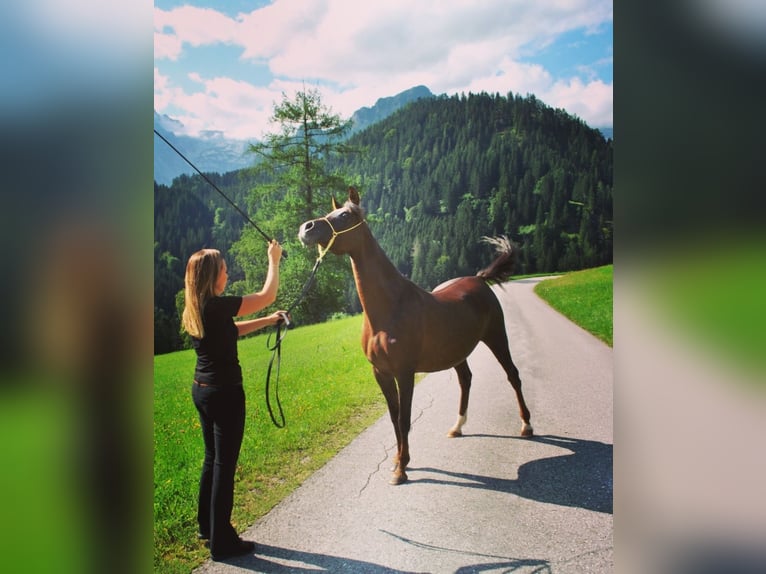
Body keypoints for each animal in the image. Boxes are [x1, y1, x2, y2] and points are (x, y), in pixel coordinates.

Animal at [300, 189, 536, 486]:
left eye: (344, 215)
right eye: (329, 213)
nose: (306, 228)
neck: (390, 308)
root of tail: (480, 279)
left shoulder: (404, 372)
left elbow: (405, 419)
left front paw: (401, 469)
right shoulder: (381, 373)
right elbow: (393, 418)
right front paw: (398, 460)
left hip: (496, 337)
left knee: (512, 375)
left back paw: (526, 425)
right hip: (457, 352)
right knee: (466, 380)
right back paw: (457, 427)